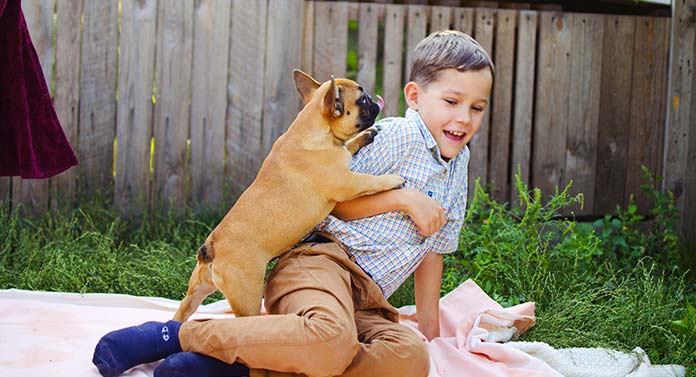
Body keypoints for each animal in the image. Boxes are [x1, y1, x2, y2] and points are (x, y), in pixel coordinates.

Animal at [171, 70, 406, 320]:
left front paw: (364, 136)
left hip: (196, 290)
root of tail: (211, 249)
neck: (313, 128)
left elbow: (348, 146)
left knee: (183, 312)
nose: (373, 100)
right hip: (247, 296)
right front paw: (393, 179)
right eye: (362, 100)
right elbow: (369, 181)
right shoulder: (347, 183)